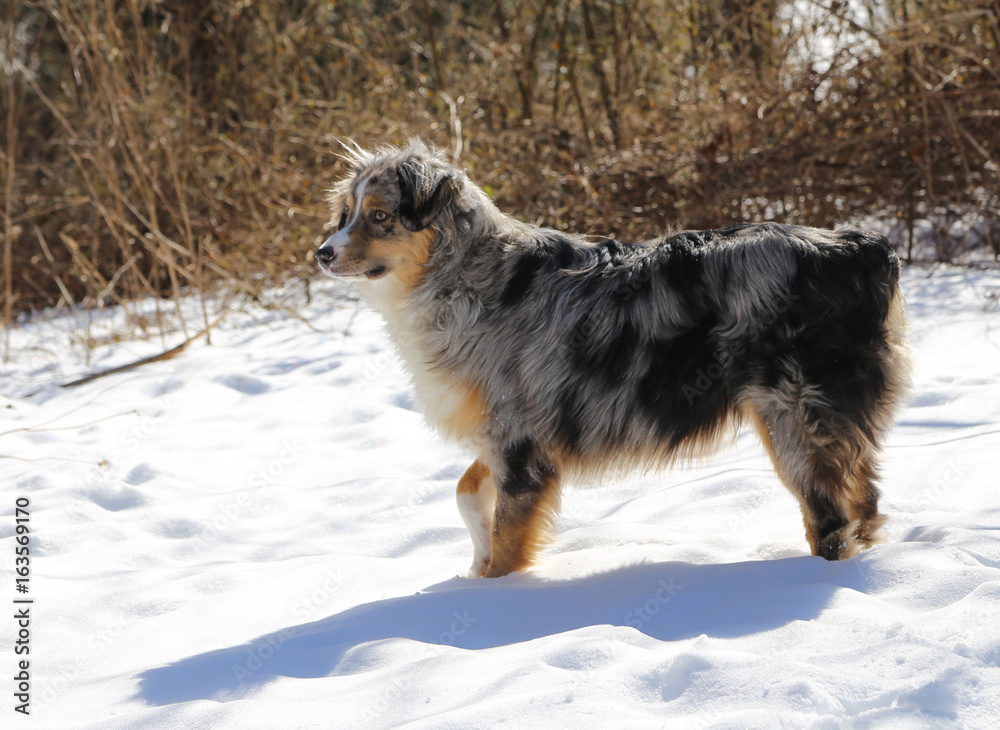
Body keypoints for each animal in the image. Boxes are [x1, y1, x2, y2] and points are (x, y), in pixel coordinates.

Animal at [316, 139, 912, 576]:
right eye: (346, 213)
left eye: (380, 216)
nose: (321, 252)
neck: (467, 277)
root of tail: (863, 249)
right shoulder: (506, 437)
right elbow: (465, 493)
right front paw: (475, 564)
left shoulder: (521, 443)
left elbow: (507, 538)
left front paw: (496, 596)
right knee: (865, 497)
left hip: (793, 417)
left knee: (829, 518)